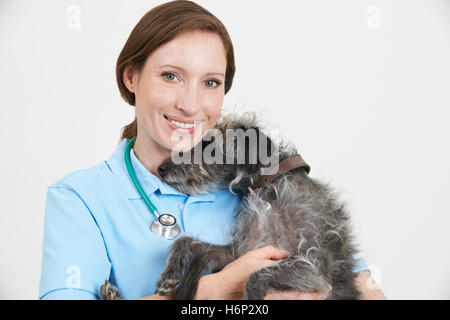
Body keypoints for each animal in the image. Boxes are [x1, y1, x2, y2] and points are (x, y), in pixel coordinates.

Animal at [101, 110, 362, 300]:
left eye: (207, 143)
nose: (161, 168)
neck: (266, 191)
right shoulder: (239, 253)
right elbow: (184, 241)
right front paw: (169, 274)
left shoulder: (314, 268)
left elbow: (255, 276)